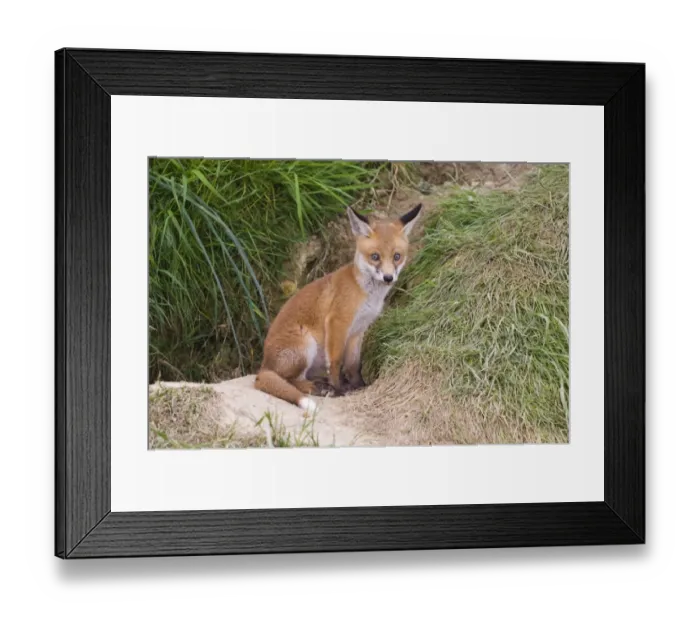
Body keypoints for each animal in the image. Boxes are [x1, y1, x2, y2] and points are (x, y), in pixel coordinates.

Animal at [254, 203, 422, 414]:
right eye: (375, 257)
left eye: (397, 257)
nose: (388, 278)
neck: (365, 293)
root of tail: (263, 366)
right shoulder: (337, 321)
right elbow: (335, 361)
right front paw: (338, 388)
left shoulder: (358, 329)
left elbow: (353, 364)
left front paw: (359, 385)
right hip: (306, 345)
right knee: (290, 380)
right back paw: (319, 388)